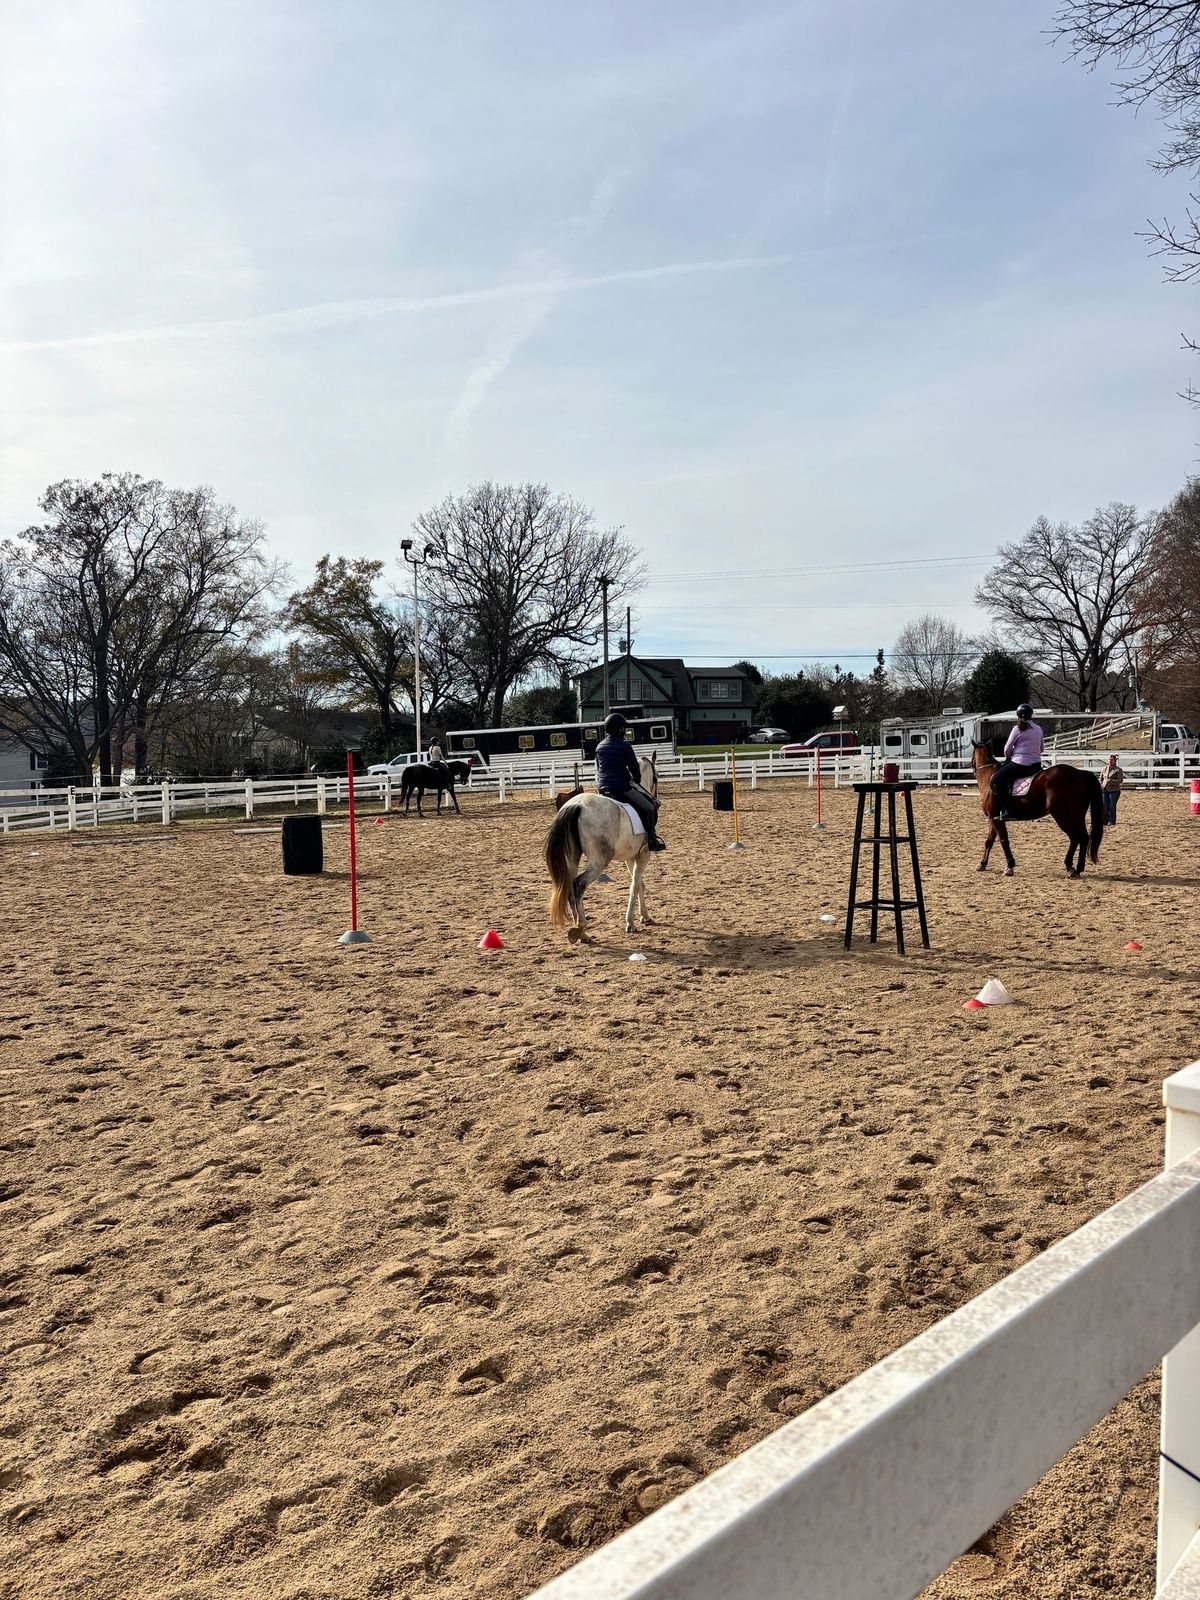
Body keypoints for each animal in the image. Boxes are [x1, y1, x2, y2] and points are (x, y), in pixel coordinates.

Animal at [544, 755, 659, 940]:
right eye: (657, 777)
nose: (658, 801)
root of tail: (576, 805)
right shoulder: (644, 854)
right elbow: (635, 885)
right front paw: (631, 923)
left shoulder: (630, 856)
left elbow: (639, 883)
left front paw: (645, 916)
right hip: (599, 862)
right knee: (579, 885)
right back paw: (581, 928)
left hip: (572, 858)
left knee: (570, 887)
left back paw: (580, 931)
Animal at [972, 742, 1107, 883]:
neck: (988, 777)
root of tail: (1080, 773)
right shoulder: (994, 818)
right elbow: (989, 841)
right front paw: (982, 864)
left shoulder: (995, 818)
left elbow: (1004, 840)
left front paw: (1009, 866)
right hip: (1076, 816)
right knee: (1082, 838)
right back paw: (1073, 868)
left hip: (1064, 816)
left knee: (1076, 837)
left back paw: (1075, 868)